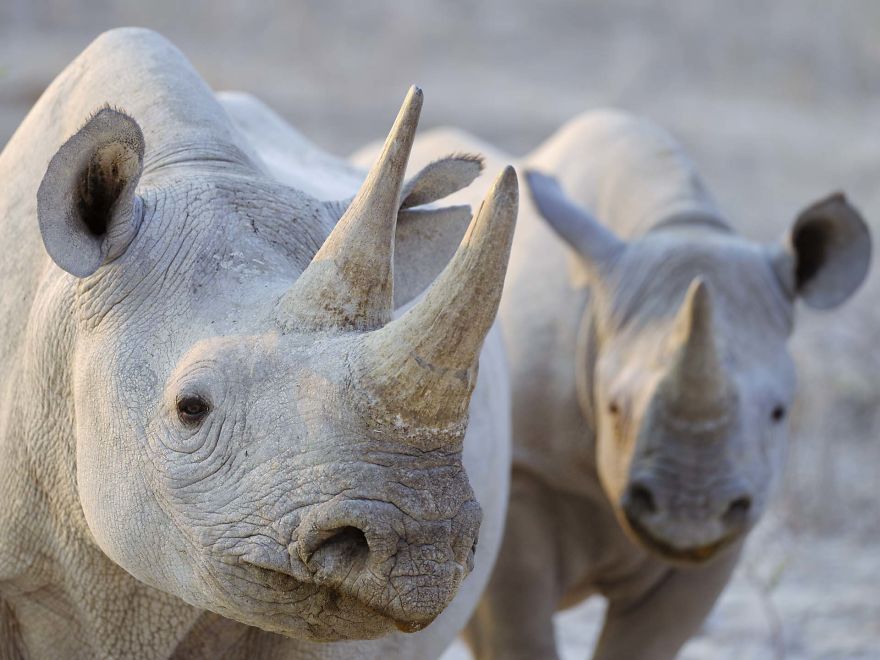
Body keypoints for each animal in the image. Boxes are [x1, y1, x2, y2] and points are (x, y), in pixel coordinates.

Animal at [354, 110, 871, 659]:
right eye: (615, 407)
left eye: (779, 412)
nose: (689, 512)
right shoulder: (524, 474)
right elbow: (520, 632)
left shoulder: (736, 510)